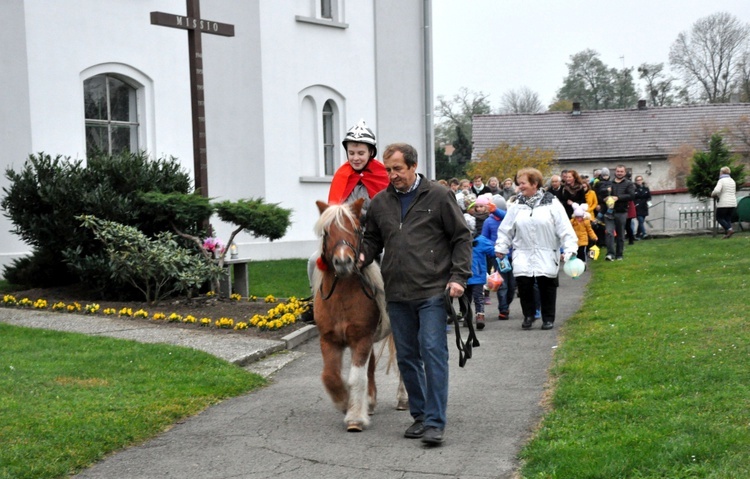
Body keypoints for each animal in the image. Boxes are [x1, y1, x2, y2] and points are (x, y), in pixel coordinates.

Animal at [312, 197, 406, 434]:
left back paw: (403, 398)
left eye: (356, 229)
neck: (341, 295)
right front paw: (345, 403)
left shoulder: (361, 338)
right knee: (371, 367)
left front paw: (355, 417)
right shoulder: (329, 340)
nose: (343, 262)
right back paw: (370, 403)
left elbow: (356, 378)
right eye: (327, 231)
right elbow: (330, 376)